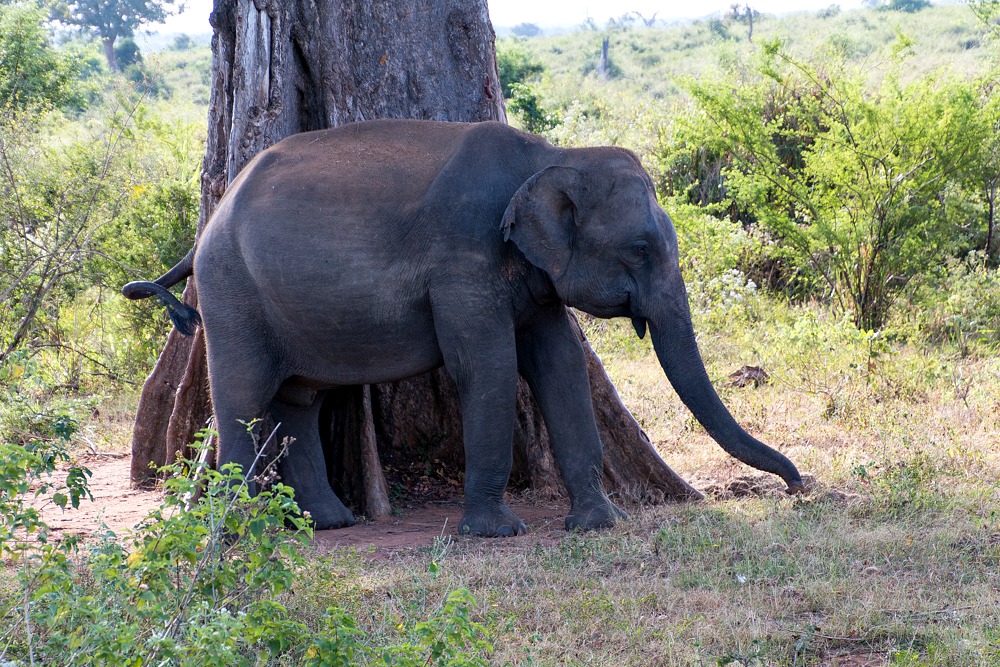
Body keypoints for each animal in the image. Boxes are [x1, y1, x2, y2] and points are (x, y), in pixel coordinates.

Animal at [123, 120, 804, 536]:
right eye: (640, 249)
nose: (797, 486)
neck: (549, 159)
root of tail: (204, 229)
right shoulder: (462, 261)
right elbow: (490, 366)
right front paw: (498, 532)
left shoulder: (531, 274)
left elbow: (559, 363)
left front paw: (597, 524)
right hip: (231, 292)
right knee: (242, 394)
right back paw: (246, 530)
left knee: (299, 400)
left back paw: (331, 523)